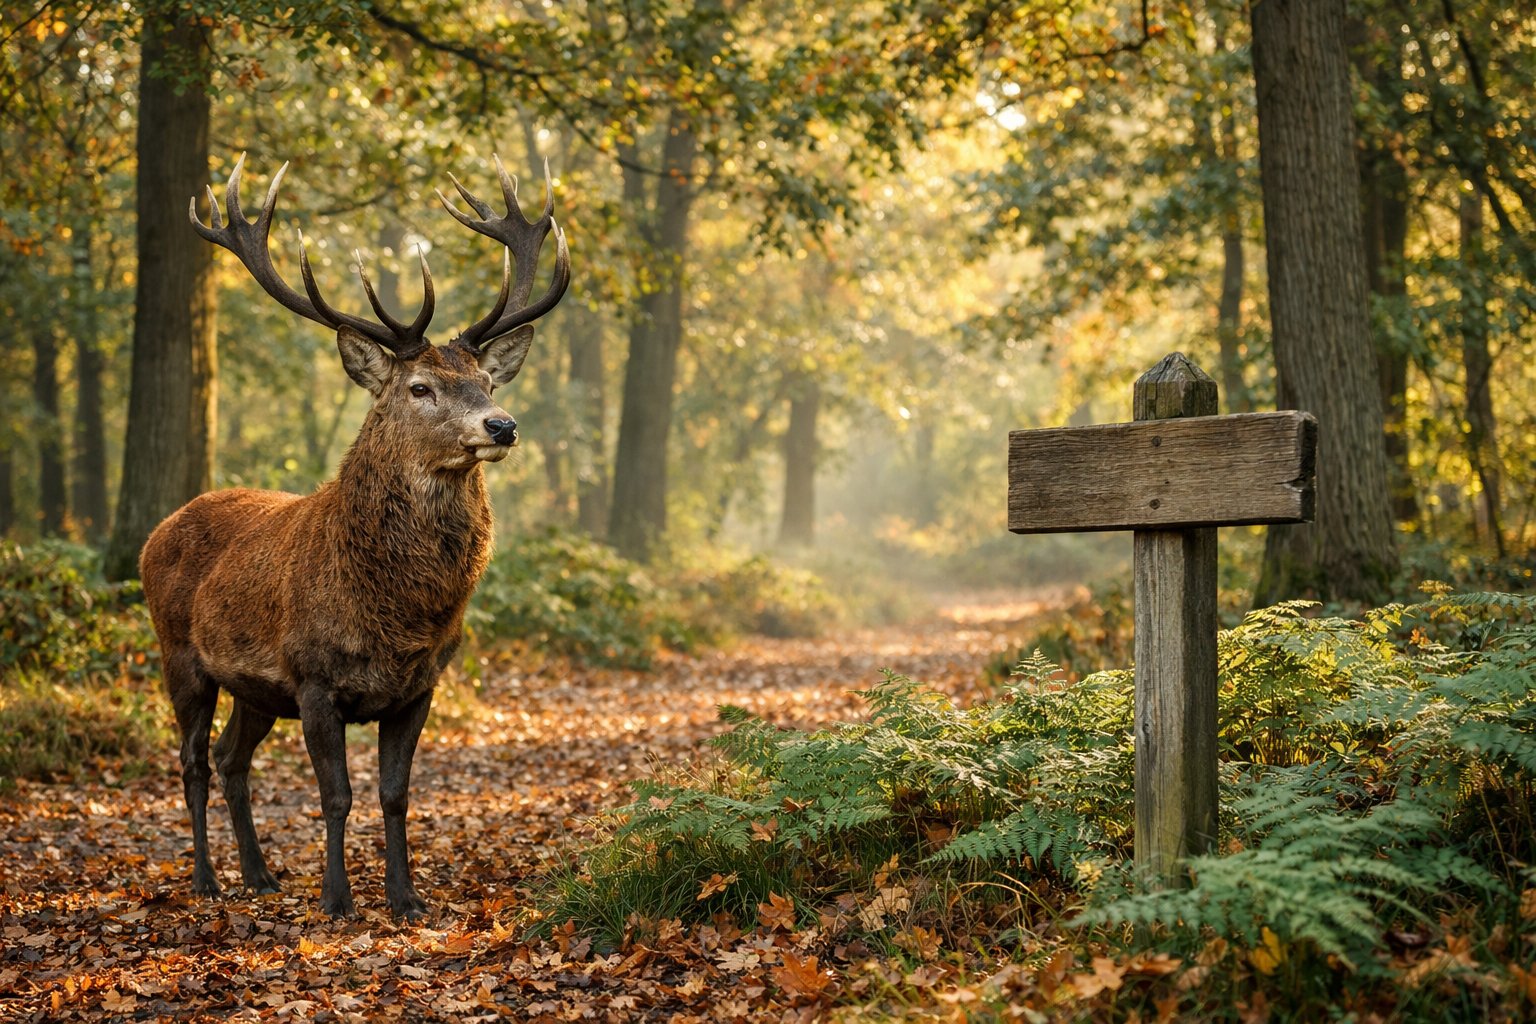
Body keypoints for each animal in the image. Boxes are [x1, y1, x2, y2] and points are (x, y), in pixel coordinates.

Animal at [139, 154, 569, 920]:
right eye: (420, 387)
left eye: (487, 380)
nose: (502, 425)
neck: (394, 613)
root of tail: (156, 531)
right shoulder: (314, 678)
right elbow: (335, 797)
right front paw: (338, 899)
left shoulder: (420, 685)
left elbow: (394, 795)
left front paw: (405, 896)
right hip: (179, 654)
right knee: (192, 760)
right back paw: (207, 879)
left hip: (254, 690)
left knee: (231, 758)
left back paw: (260, 874)